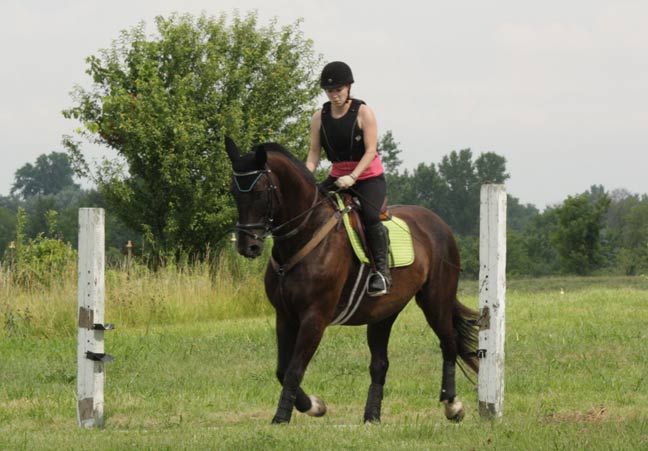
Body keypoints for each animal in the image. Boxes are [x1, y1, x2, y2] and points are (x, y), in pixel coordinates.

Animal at [225, 139, 478, 426]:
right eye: (234, 191)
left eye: (259, 192)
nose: (248, 246)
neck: (305, 235)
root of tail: (440, 224)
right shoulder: (285, 316)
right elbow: (282, 369)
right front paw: (313, 405)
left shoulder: (315, 318)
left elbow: (294, 369)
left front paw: (286, 416)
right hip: (384, 313)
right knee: (380, 363)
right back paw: (372, 416)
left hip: (435, 301)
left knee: (449, 342)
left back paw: (452, 405)